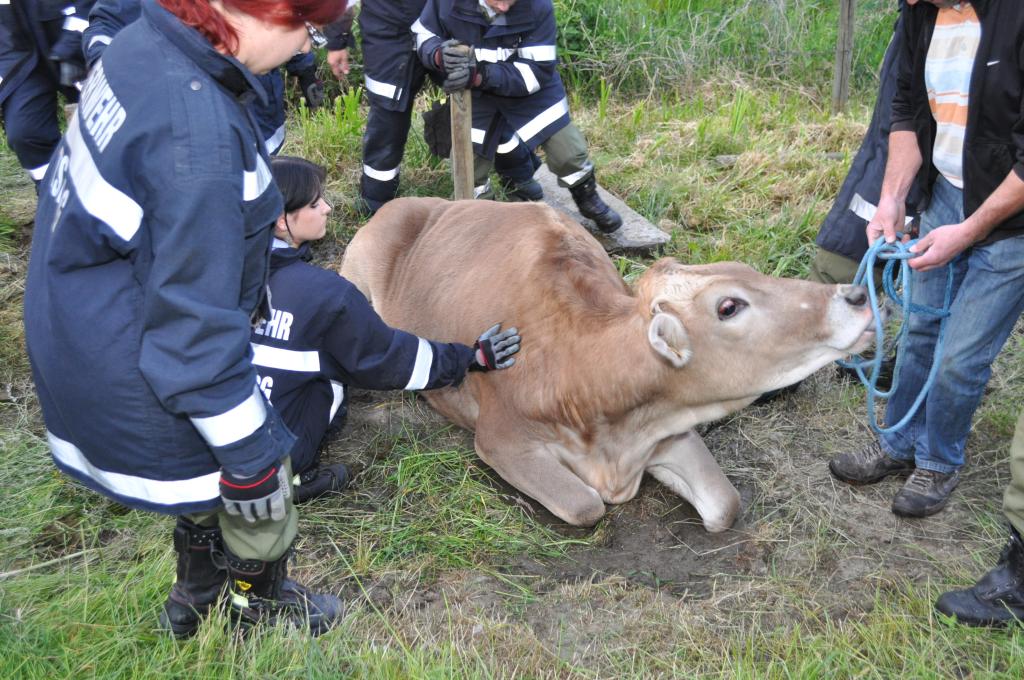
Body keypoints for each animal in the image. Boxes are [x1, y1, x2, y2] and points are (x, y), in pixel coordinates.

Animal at [340, 198, 875, 533]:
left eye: (750, 272)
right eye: (729, 306)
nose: (856, 295)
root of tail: (411, 203)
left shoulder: (665, 433)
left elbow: (725, 506)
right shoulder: (501, 438)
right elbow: (584, 506)